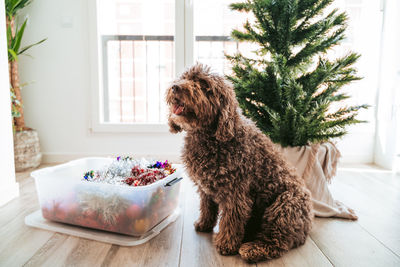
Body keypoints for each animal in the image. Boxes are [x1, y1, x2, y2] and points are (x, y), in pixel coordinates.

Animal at [166, 63, 312, 262]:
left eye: (204, 85)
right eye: (184, 77)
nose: (175, 87)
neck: (210, 137)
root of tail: (306, 229)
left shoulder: (235, 192)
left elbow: (231, 219)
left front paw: (226, 244)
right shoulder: (206, 188)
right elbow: (207, 207)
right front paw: (204, 224)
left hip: (286, 204)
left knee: (277, 241)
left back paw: (253, 249)